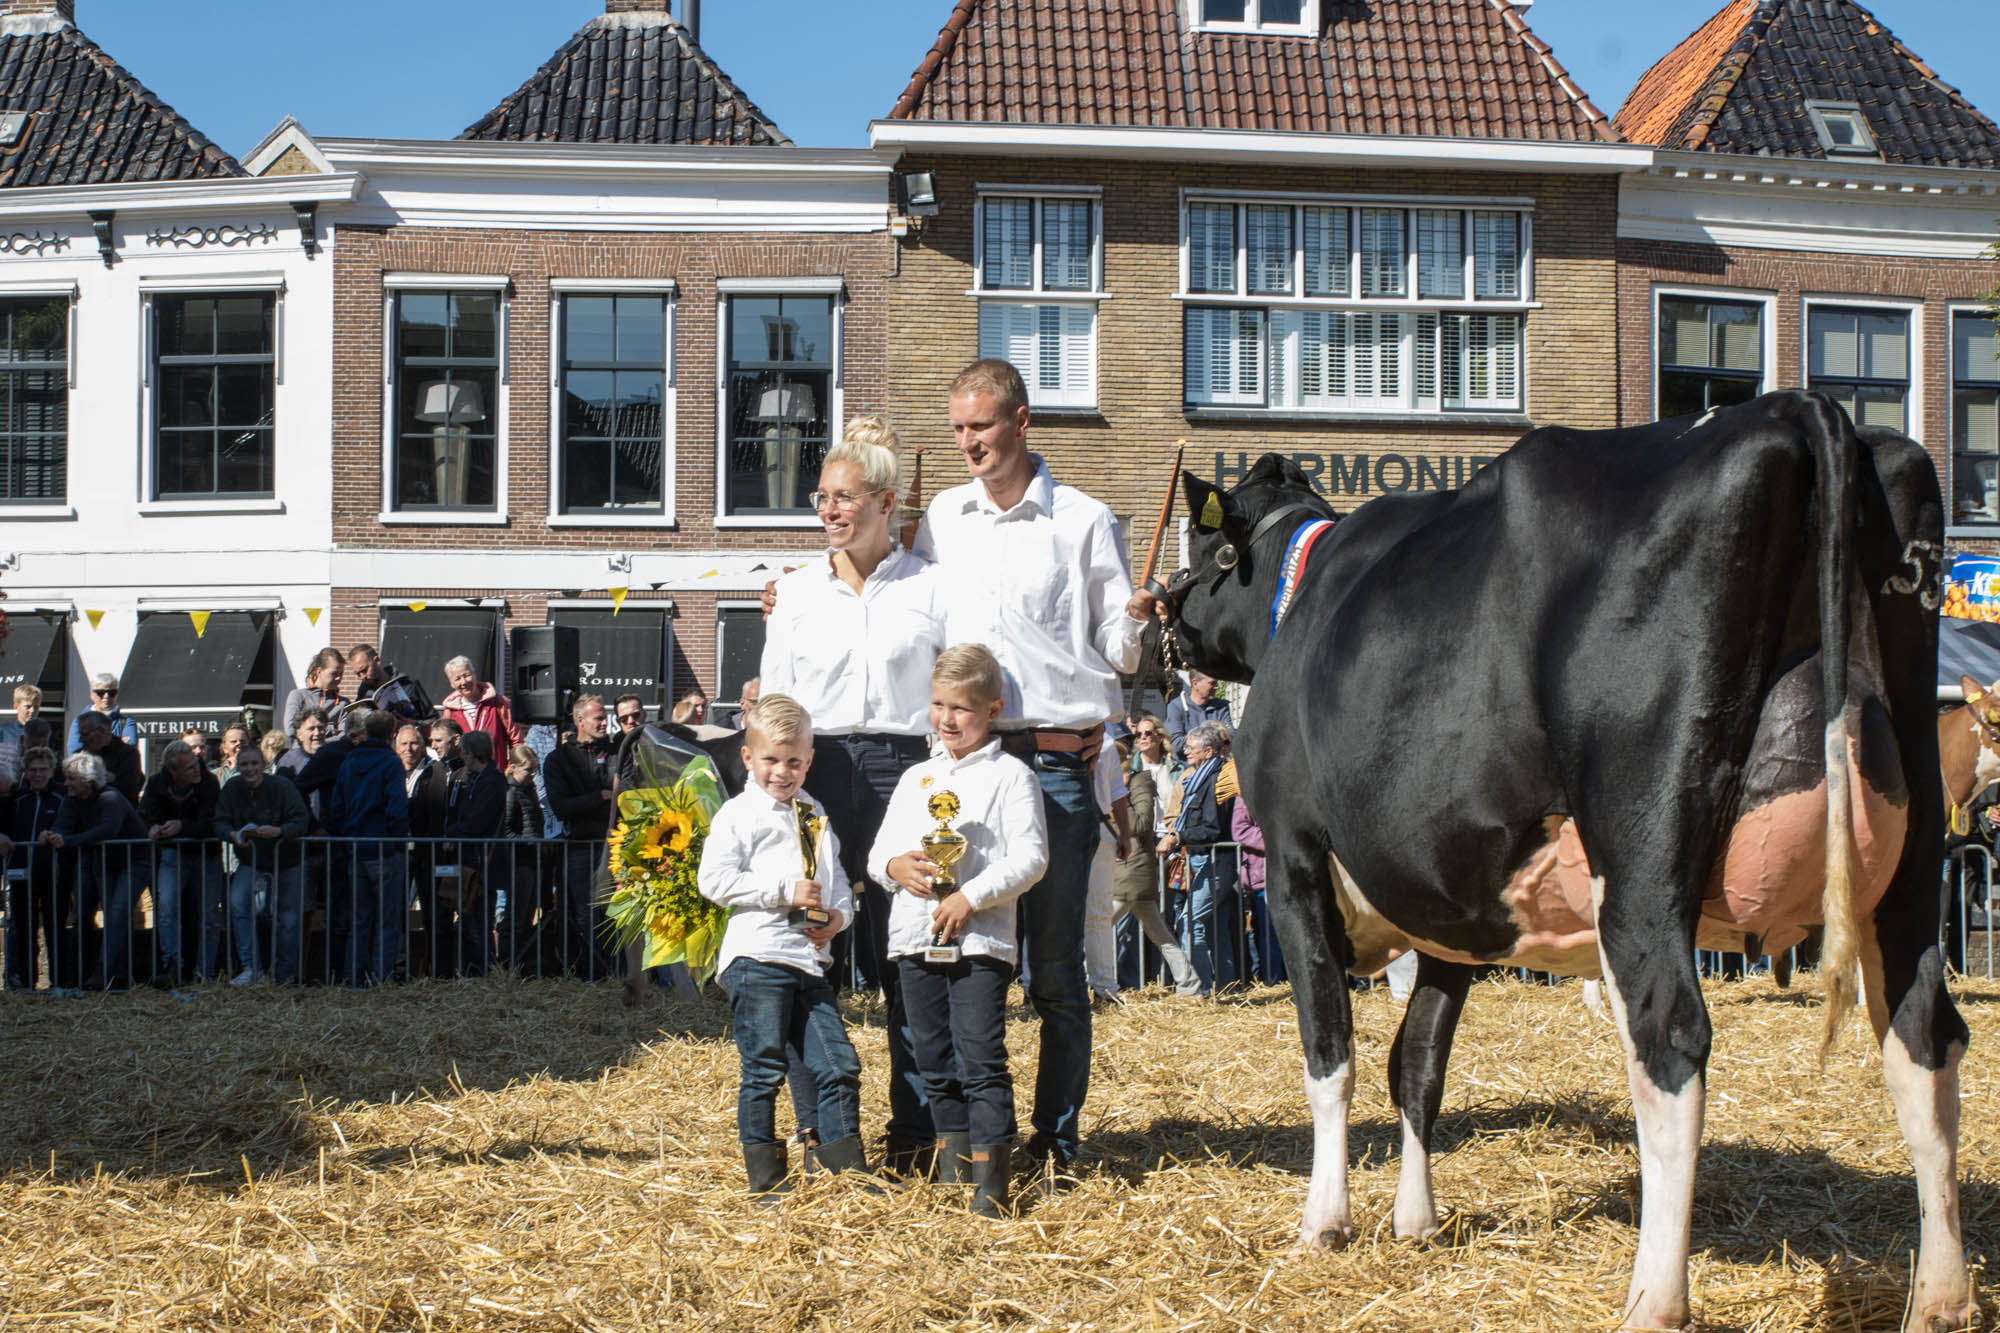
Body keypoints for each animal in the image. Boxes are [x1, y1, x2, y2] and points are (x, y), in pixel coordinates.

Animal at [1159, 390, 1972, 1332]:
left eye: (1203, 551)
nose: (1164, 620)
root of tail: (1792, 407)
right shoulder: (1458, 905)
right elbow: (1418, 1064)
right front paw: (1415, 1219)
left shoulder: (1293, 866)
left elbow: (1332, 1053)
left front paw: (1324, 1222)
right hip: (1910, 849)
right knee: (1923, 1034)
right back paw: (1941, 1295)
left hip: (1642, 851)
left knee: (1669, 1037)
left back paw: (1653, 1297)